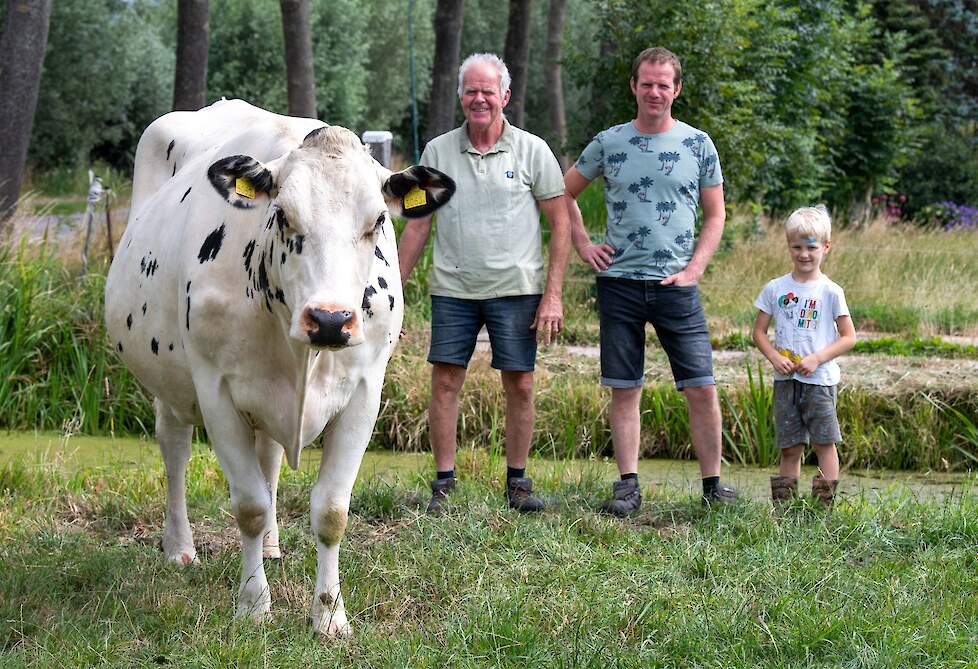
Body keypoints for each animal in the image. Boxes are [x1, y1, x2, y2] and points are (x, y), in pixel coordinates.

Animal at [105, 100, 456, 636]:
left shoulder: (364, 394)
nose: (330, 319)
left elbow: (331, 510)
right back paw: (180, 547)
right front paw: (253, 606)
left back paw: (270, 547)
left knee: (267, 457)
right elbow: (247, 505)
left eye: (377, 220)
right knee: (175, 451)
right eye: (283, 216)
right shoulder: (216, 391)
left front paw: (329, 617)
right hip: (169, 385)